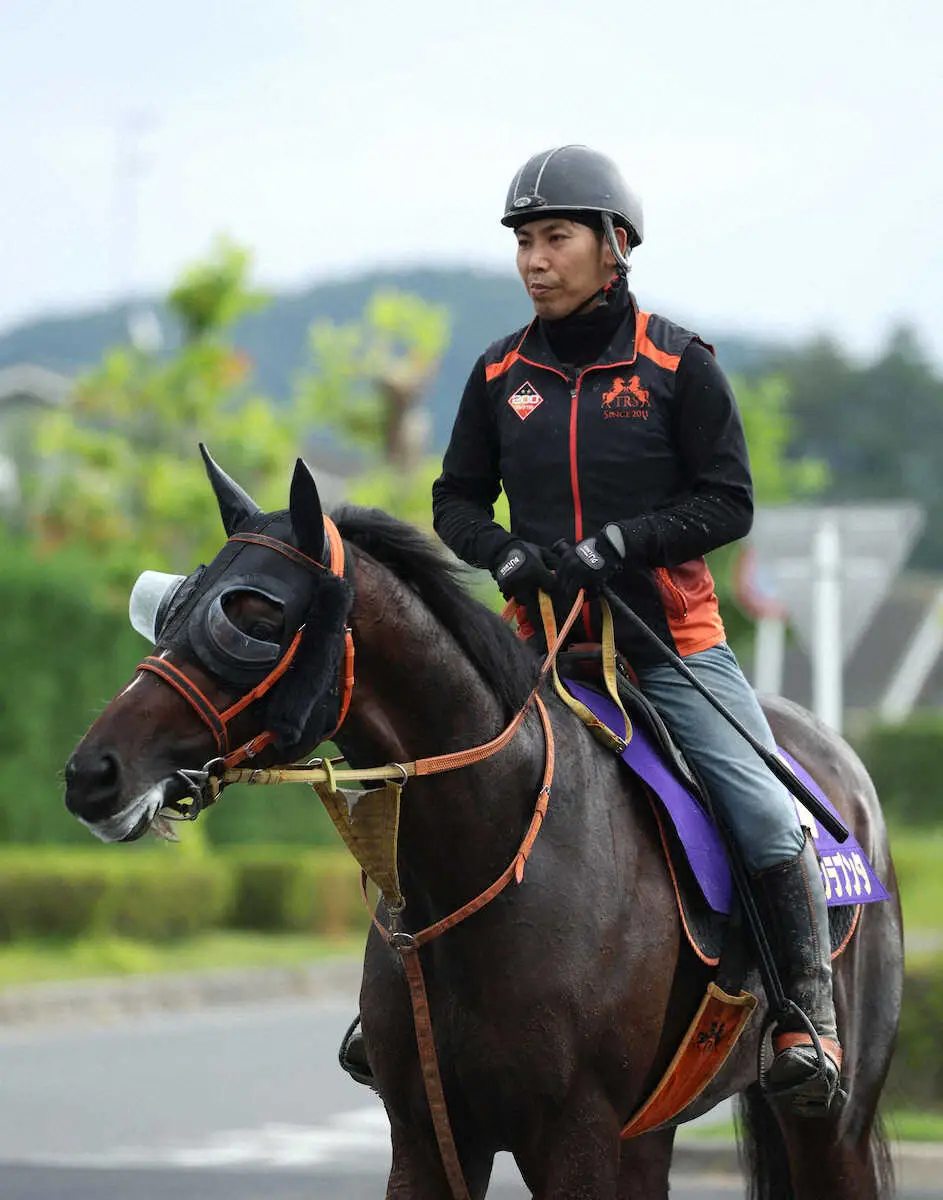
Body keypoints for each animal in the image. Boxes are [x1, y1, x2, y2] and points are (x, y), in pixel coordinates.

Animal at [62, 451, 902, 1200]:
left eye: (256, 615)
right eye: (170, 607)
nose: (94, 772)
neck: (491, 856)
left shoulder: (574, 1138)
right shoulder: (428, 1137)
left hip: (829, 1122)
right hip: (649, 1135)